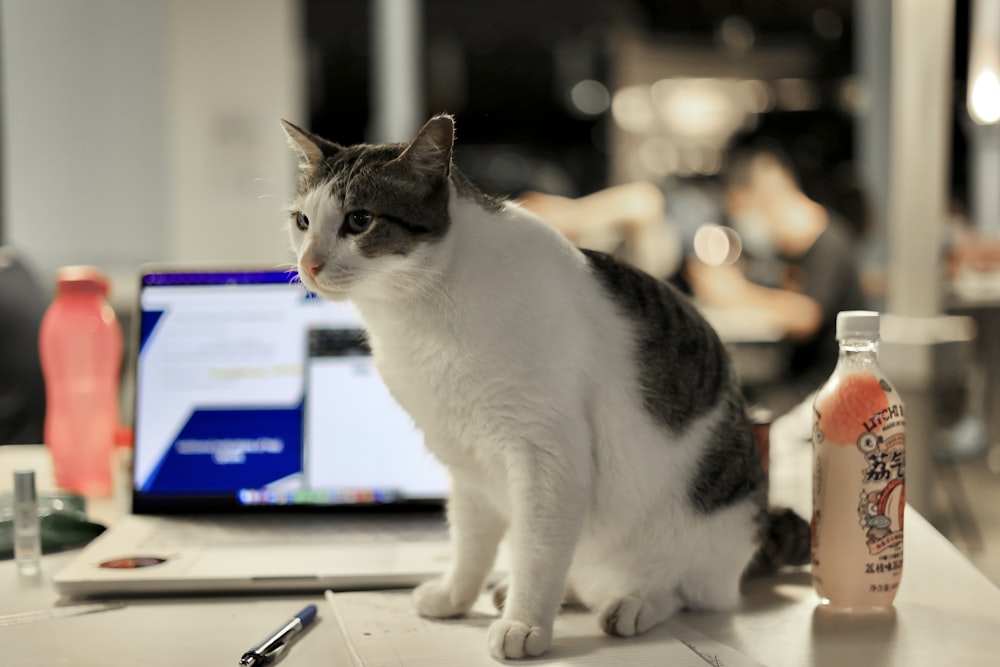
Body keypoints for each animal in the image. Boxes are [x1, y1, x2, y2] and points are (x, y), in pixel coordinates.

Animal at [282, 116, 812, 664]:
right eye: (302, 221)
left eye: (359, 220)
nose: (310, 264)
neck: (422, 312)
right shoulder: (467, 462)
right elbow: (470, 544)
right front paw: (457, 597)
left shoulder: (548, 454)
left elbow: (535, 551)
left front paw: (525, 624)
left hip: (707, 527)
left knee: (688, 590)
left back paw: (632, 603)